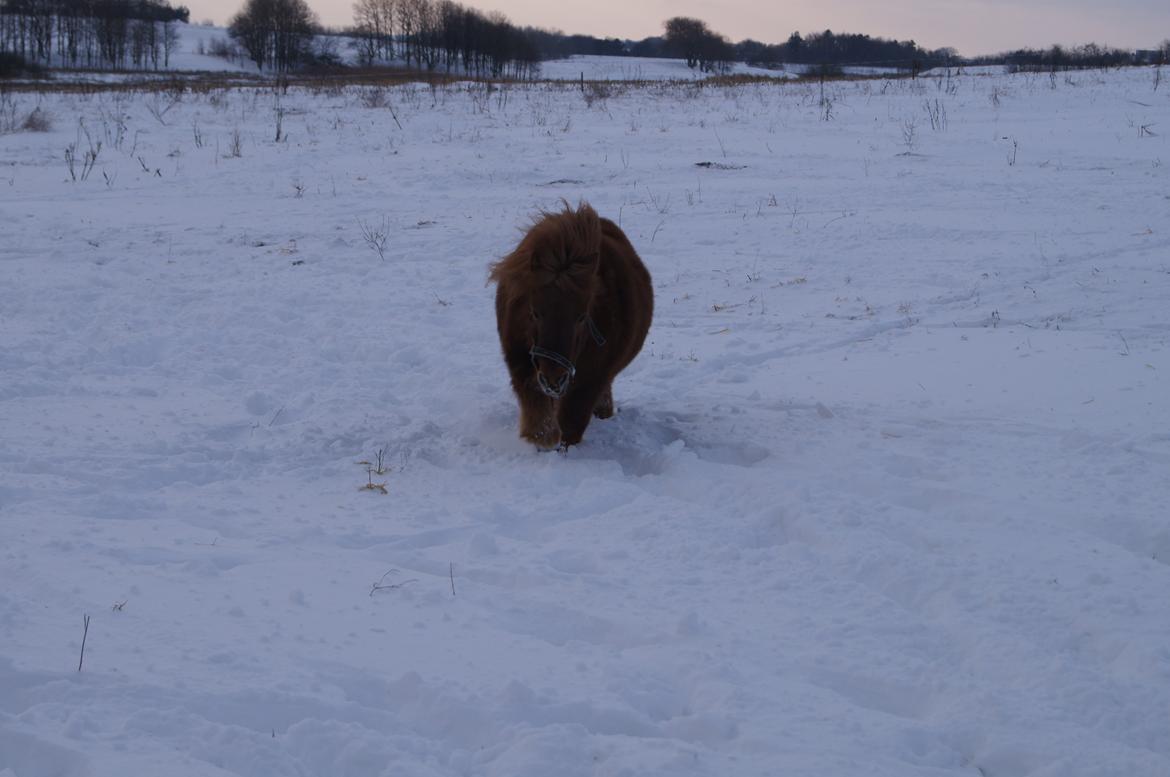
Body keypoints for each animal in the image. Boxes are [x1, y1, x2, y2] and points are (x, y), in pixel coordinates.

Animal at [489, 203, 655, 449]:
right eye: (534, 312)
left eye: (582, 317)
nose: (553, 379)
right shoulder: (521, 364)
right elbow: (537, 411)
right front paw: (542, 438)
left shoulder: (592, 379)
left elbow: (571, 423)